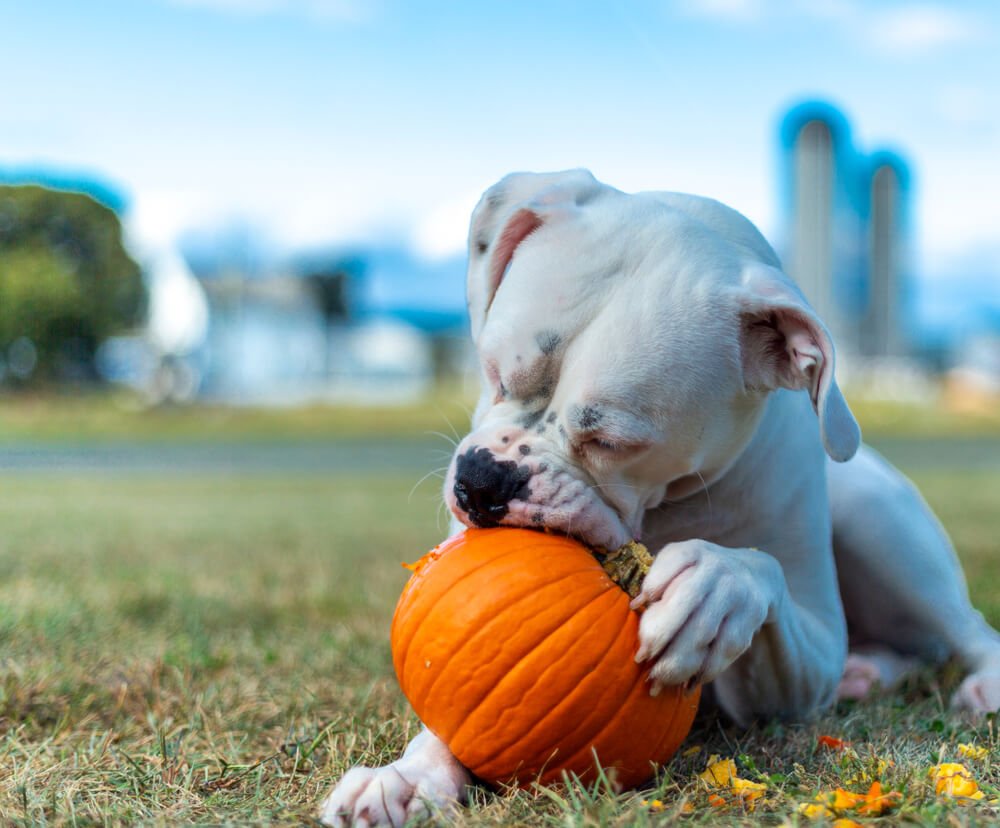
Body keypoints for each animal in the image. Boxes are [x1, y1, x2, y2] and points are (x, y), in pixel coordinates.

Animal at [320, 170, 1000, 828]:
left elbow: (761, 572)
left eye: (612, 441)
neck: (672, 504)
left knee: (966, 631)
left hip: (880, 529)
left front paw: (714, 589)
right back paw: (868, 673)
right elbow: (451, 713)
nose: (483, 482)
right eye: (493, 373)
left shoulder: (808, 663)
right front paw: (407, 777)